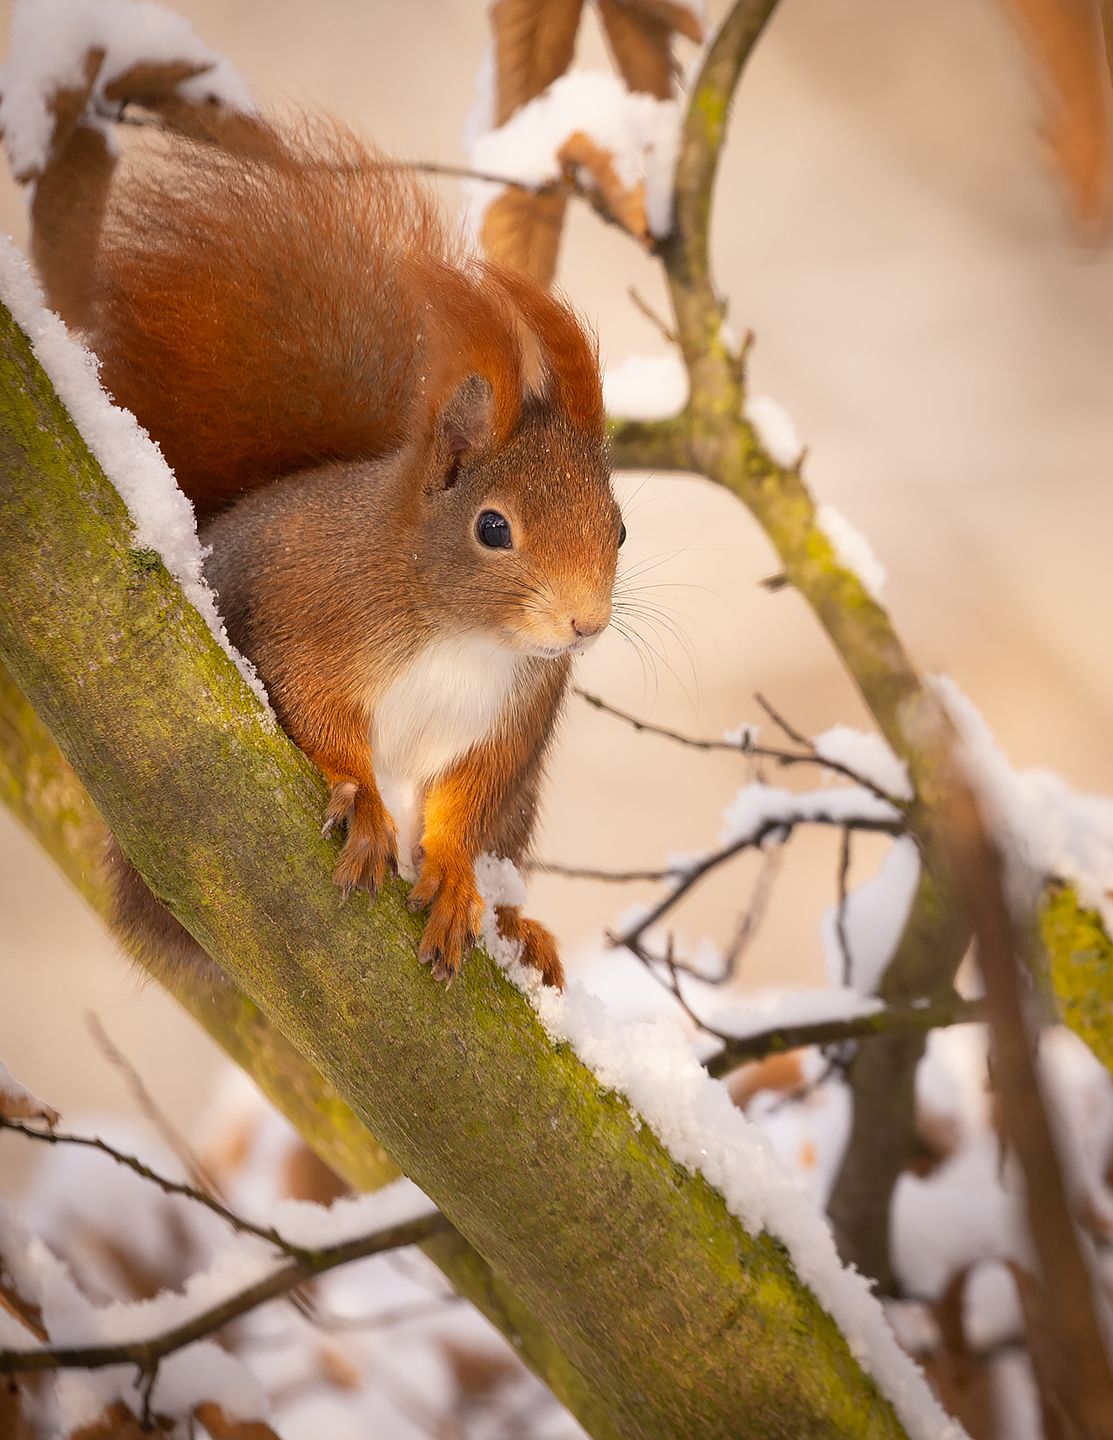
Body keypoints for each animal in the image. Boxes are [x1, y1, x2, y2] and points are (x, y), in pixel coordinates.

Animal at [67, 115, 624, 990]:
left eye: (620, 528)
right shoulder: (311, 616)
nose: (584, 624)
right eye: (492, 528)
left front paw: (454, 875)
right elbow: (316, 711)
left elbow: (468, 801)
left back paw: (518, 929)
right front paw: (363, 801)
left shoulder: (512, 718)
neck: (460, 633)